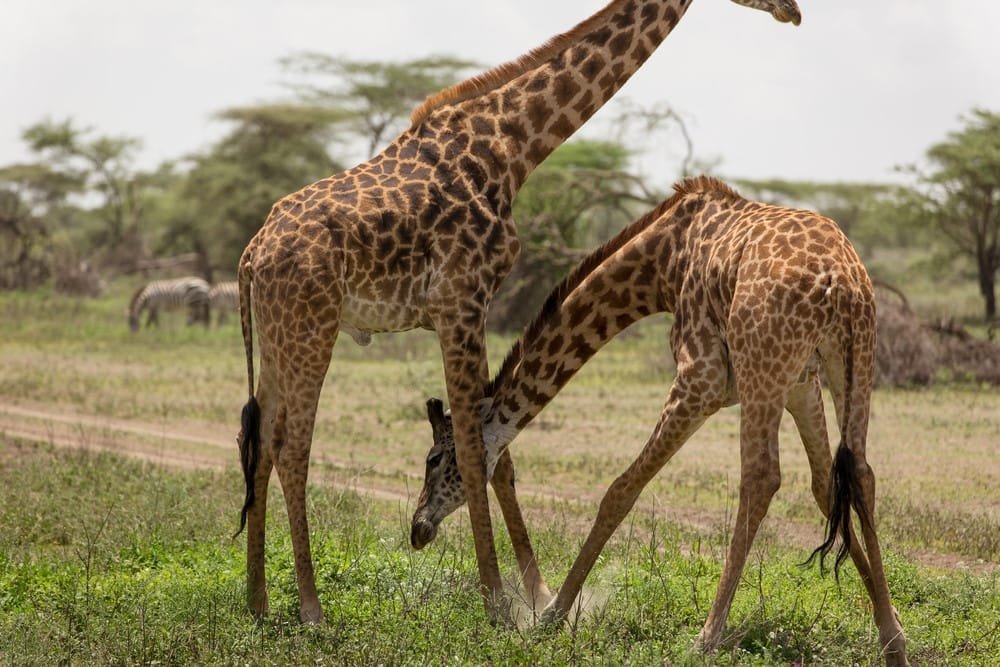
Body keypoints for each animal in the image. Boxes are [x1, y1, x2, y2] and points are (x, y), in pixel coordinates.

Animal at [234, 0, 802, 624]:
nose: (794, 12)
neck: (510, 146)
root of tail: (250, 255)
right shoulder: (461, 299)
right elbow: (475, 448)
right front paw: (499, 604)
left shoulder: (466, 308)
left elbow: (494, 452)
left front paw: (537, 595)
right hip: (312, 328)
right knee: (292, 446)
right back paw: (311, 608)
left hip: (281, 336)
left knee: (257, 438)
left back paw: (259, 601)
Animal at [410, 177, 909, 665]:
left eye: (435, 458)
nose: (417, 528)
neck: (661, 265)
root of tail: (839, 280)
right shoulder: (801, 384)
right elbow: (826, 488)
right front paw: (892, 627)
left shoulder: (702, 380)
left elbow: (619, 491)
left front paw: (551, 616)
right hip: (852, 360)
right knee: (860, 472)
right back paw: (894, 644)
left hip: (761, 367)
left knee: (761, 477)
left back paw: (706, 638)